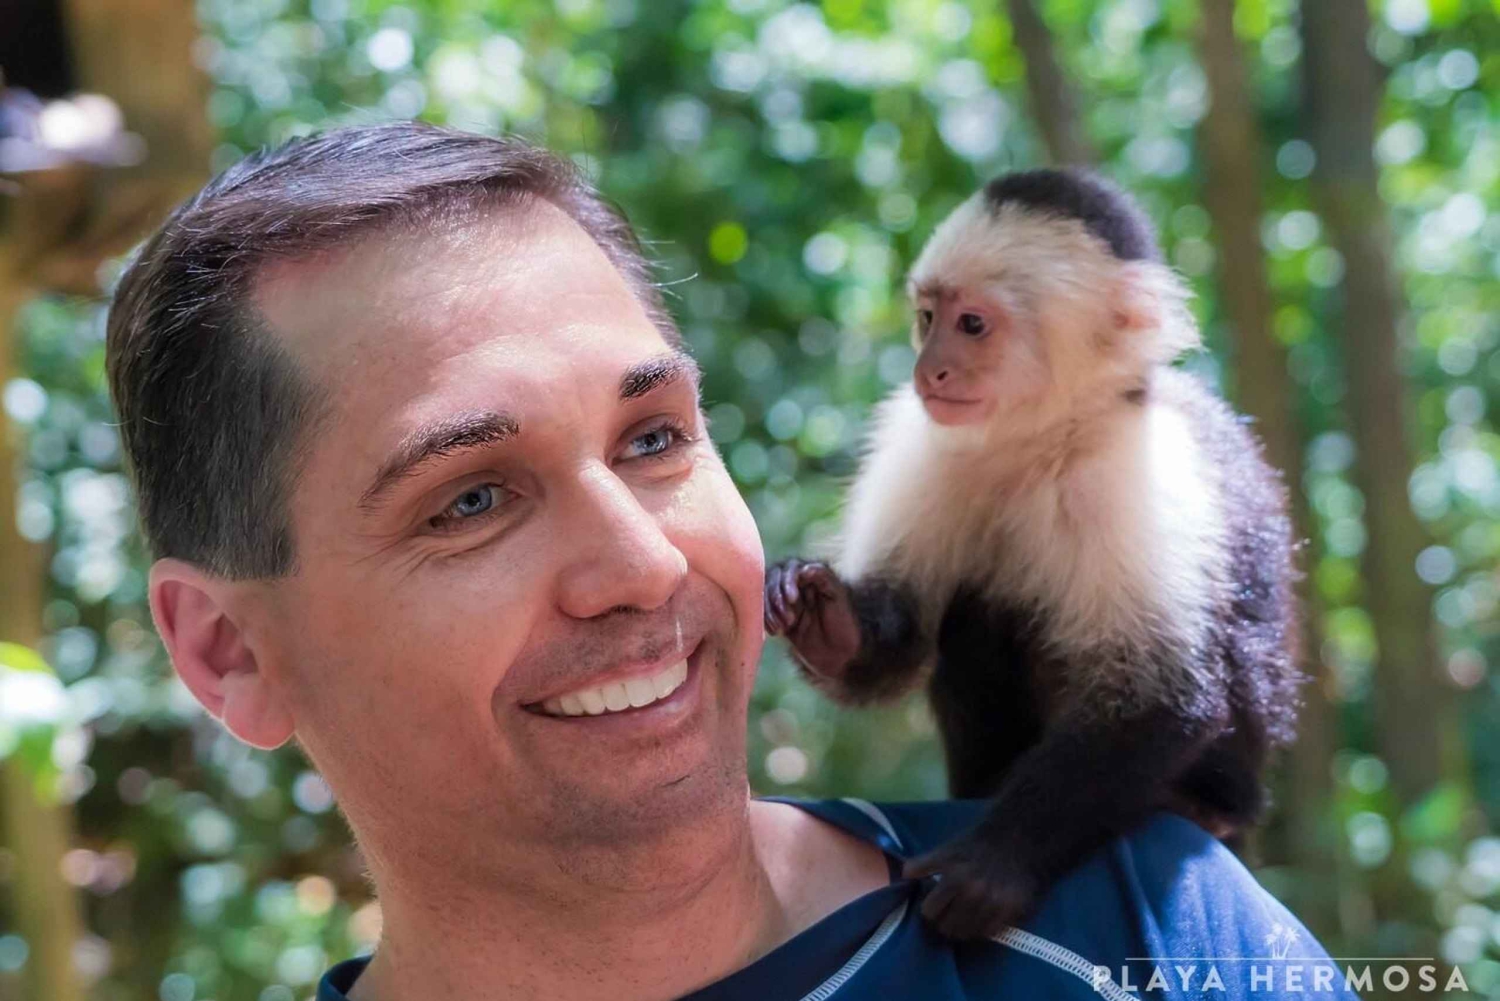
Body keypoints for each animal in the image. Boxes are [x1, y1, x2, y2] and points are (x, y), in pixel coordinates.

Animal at [764, 168, 1302, 941]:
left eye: (973, 325)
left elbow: (1159, 696)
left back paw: (1194, 807)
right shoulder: (923, 443)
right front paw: (826, 618)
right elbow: (895, 646)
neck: (1042, 442)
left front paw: (993, 865)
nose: (929, 371)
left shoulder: (1135, 473)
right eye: (927, 316)